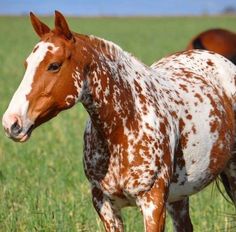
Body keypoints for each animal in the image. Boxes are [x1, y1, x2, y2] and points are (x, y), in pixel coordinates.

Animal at [1, 11, 236, 232]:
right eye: (27, 64)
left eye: (54, 65)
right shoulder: (105, 205)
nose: (11, 122)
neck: (122, 128)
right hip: (178, 196)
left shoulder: (153, 204)